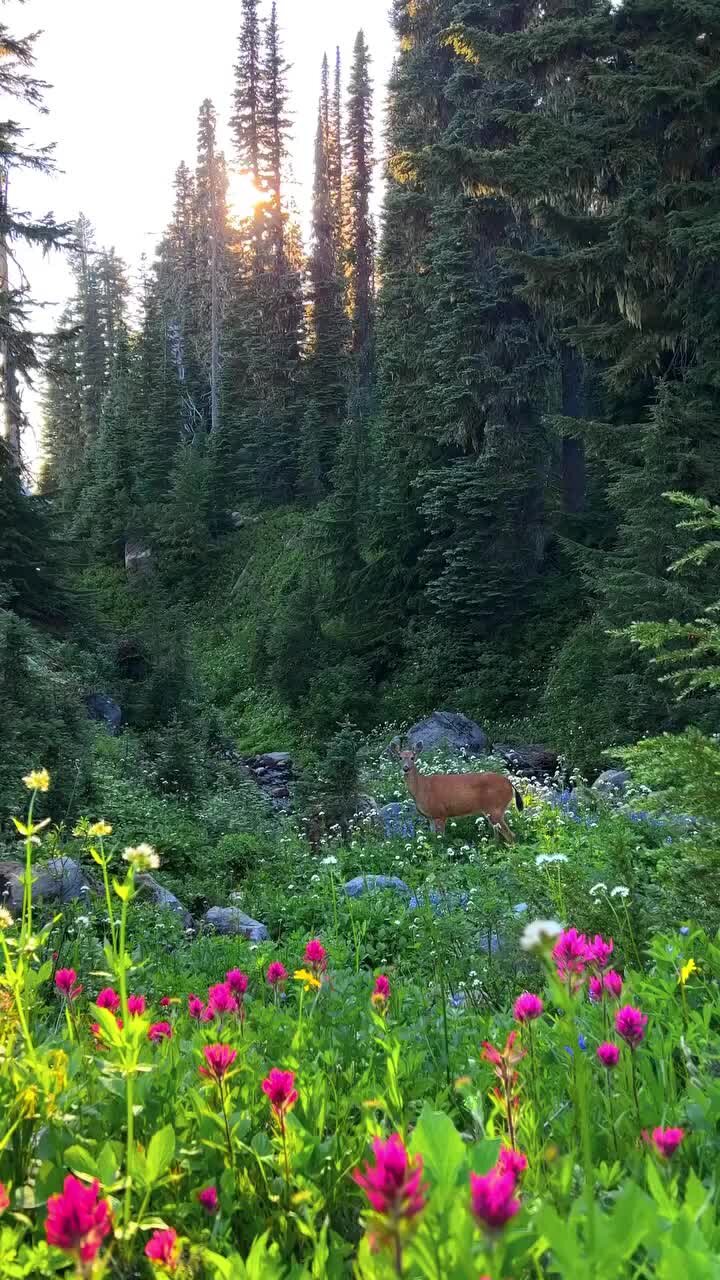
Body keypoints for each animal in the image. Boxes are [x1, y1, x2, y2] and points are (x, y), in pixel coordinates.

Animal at [392, 747, 520, 844]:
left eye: (412, 757)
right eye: (400, 757)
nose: (405, 768)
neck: (422, 788)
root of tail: (510, 783)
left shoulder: (440, 813)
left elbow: (441, 838)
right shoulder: (430, 817)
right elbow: (433, 837)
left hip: (495, 808)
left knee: (511, 835)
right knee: (498, 833)